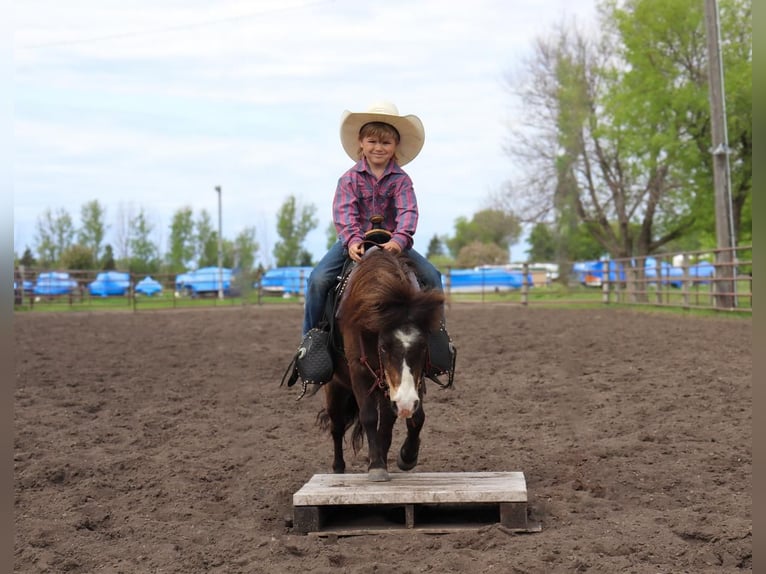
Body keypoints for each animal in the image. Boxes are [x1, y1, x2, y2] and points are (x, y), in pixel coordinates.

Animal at [320, 250, 444, 484]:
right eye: (384, 347)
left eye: (424, 345)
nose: (405, 402)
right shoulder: (359, 371)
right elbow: (369, 417)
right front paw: (377, 467)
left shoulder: (406, 383)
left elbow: (411, 419)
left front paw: (406, 457)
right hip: (335, 388)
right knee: (336, 427)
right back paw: (338, 469)